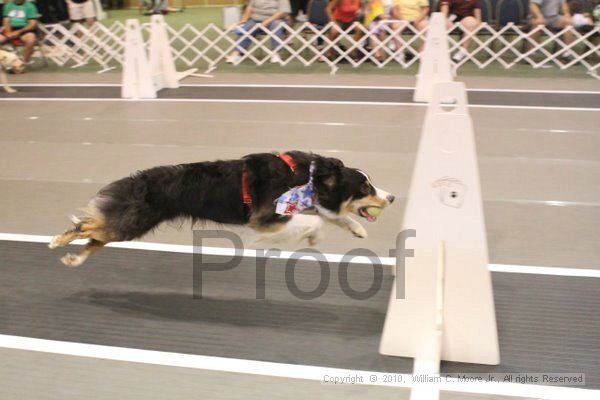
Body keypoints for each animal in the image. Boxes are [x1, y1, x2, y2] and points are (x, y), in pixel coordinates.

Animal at [49, 152, 396, 268]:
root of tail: (135, 180)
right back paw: (57, 240)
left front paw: (357, 229)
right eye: (364, 188)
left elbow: (330, 216)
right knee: (88, 227)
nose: (392, 197)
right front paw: (310, 238)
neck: (309, 178)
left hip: (131, 226)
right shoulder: (267, 216)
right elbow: (314, 223)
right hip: (133, 223)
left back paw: (73, 258)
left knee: (97, 238)